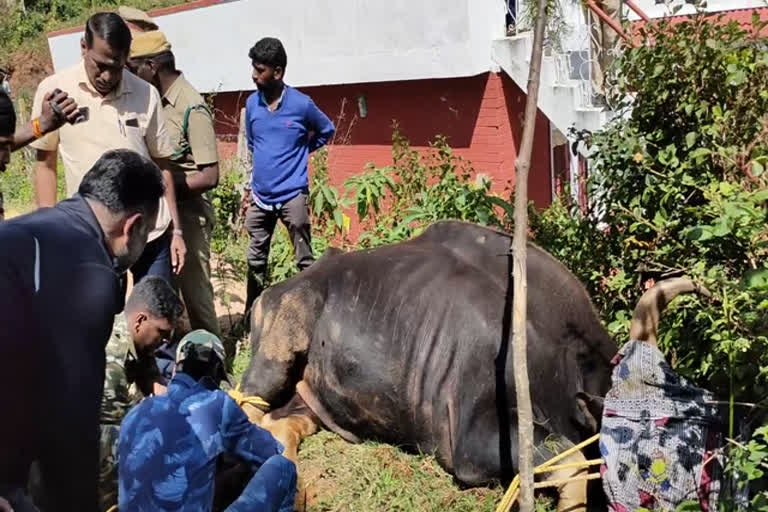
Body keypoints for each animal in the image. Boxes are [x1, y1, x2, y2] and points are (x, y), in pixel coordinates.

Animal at [238, 221, 704, 512]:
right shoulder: (470, 446)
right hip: (274, 357)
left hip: (311, 403)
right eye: (641, 455)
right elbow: (569, 460)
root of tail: (275, 292)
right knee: (245, 406)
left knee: (282, 425)